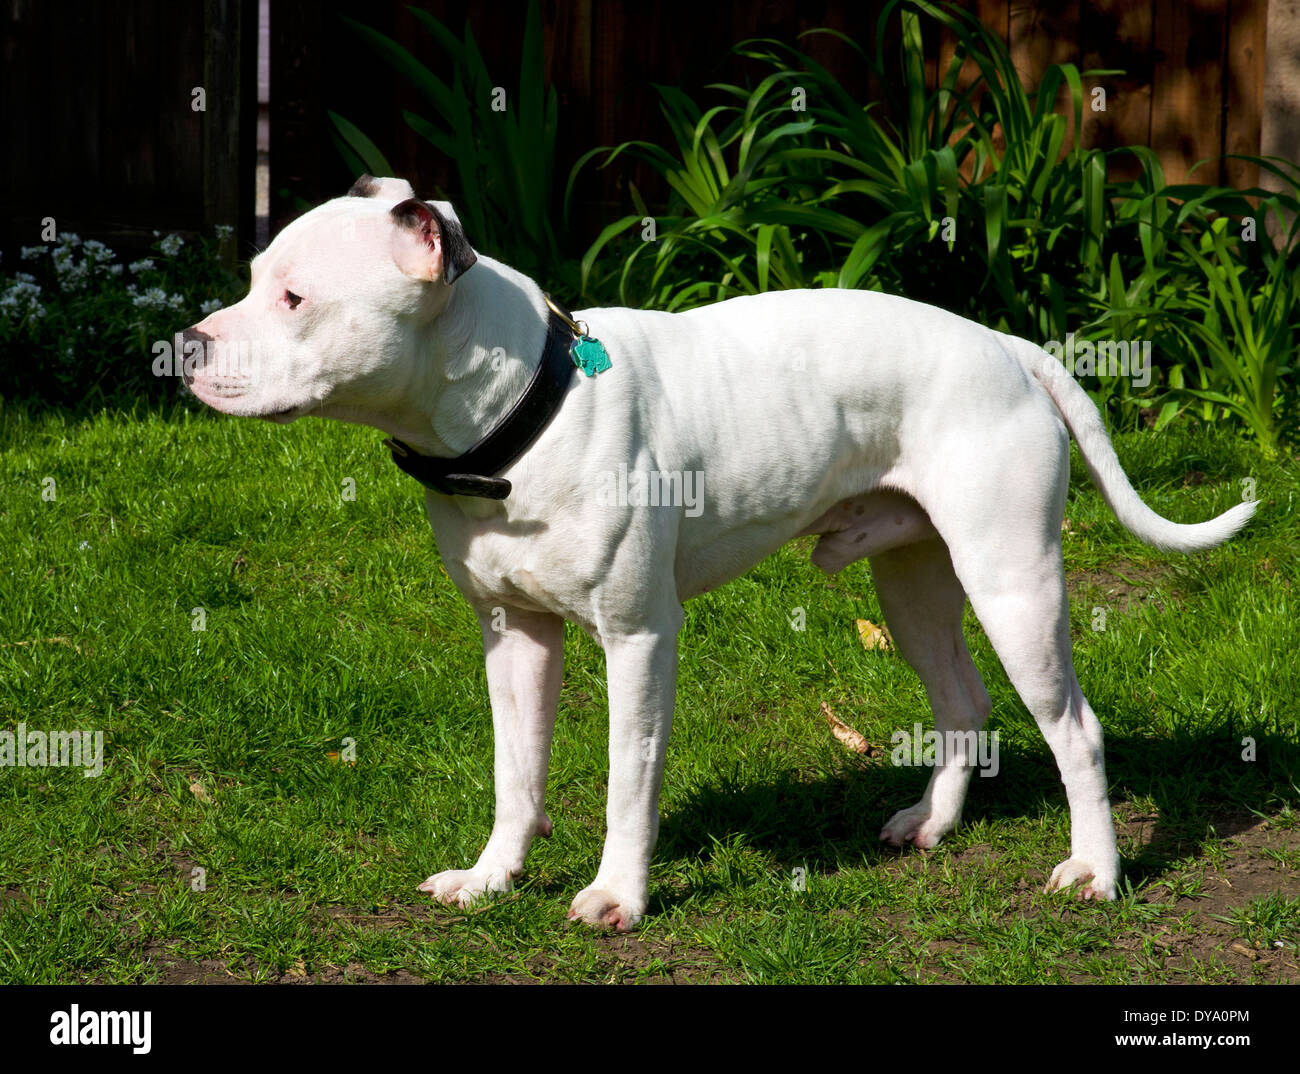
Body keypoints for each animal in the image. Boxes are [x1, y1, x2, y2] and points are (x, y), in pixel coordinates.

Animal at [180, 178, 1248, 930]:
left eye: (294, 299)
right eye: (253, 279)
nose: (186, 344)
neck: (523, 409)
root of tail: (1009, 346)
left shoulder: (639, 638)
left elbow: (627, 775)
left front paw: (618, 896)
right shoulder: (514, 637)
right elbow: (514, 774)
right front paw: (492, 878)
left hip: (1014, 586)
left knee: (1077, 731)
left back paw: (1096, 871)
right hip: (913, 586)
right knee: (963, 703)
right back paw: (935, 825)